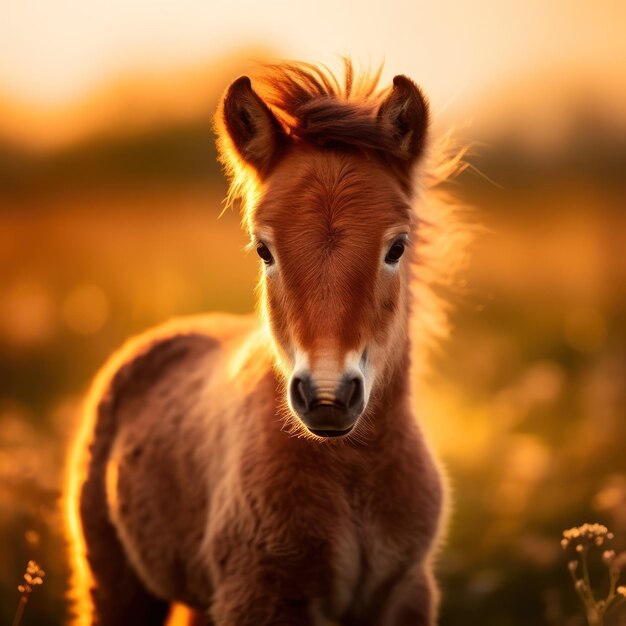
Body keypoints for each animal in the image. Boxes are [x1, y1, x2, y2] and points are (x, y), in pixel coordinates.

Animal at [66, 62, 446, 624]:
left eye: (397, 247)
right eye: (264, 249)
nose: (328, 396)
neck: (352, 477)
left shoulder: (406, 592)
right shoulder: (258, 596)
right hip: (115, 585)